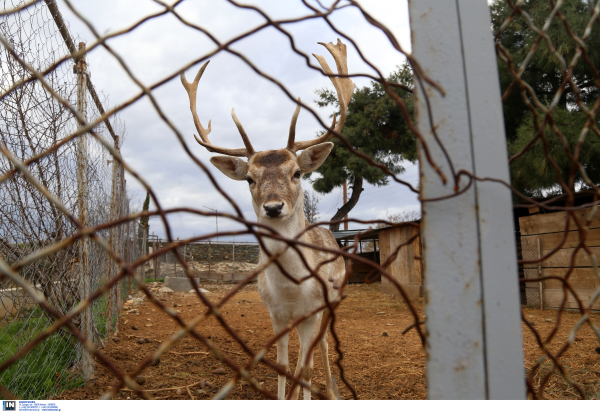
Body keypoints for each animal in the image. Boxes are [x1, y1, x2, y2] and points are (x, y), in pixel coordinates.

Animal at [180, 38, 354, 400]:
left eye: (297, 173)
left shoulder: (312, 310)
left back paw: (332, 390)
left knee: (323, 347)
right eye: (250, 178)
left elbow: (307, 367)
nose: (273, 207)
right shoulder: (275, 312)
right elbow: (285, 365)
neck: (291, 291)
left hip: (332, 300)